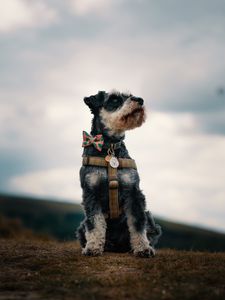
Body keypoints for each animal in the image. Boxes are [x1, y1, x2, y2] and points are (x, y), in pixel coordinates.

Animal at [76, 90, 161, 256]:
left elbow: (137, 223)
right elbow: (95, 222)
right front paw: (93, 247)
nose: (140, 100)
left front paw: (143, 248)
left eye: (130, 95)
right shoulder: (91, 192)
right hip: (81, 226)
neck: (110, 147)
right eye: (114, 99)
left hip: (151, 220)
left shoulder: (133, 191)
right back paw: (105, 245)